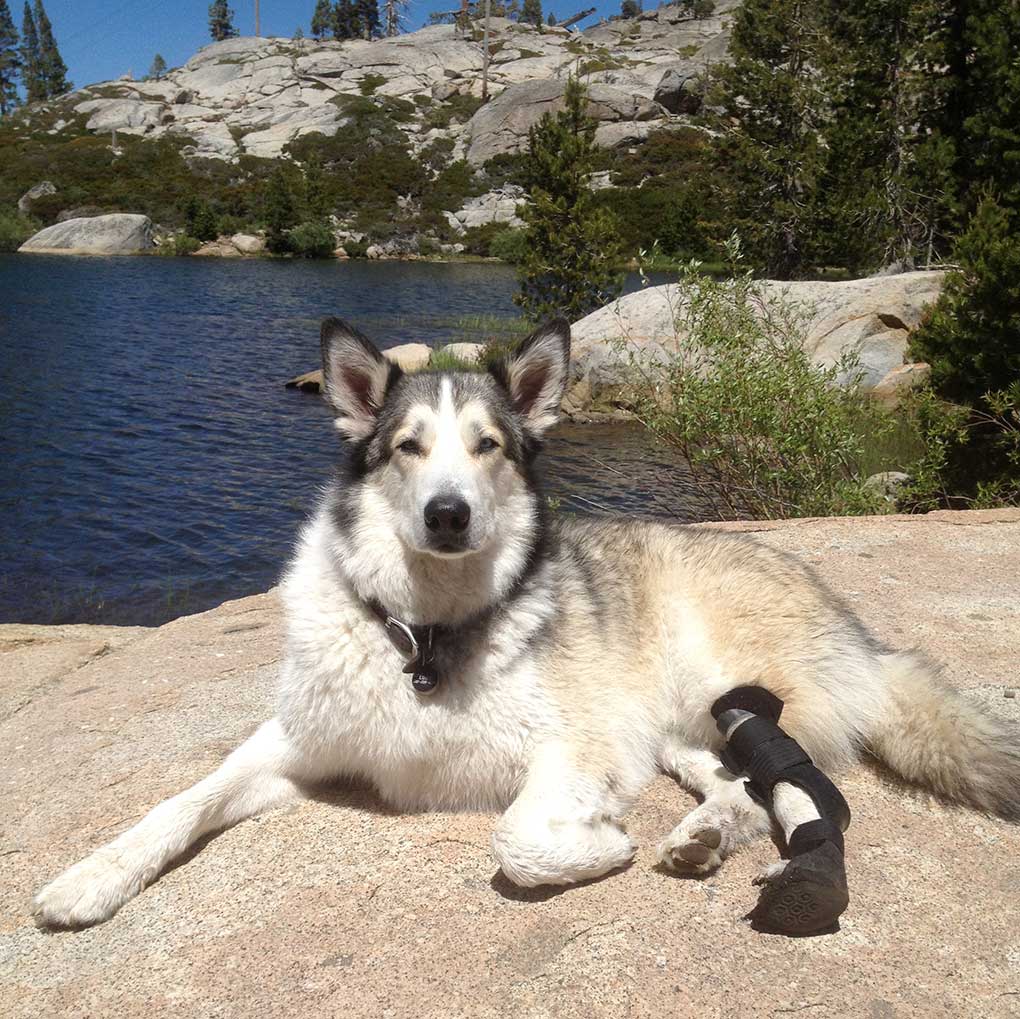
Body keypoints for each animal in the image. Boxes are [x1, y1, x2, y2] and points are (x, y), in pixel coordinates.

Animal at [29, 318, 1020, 934]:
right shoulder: (294, 745)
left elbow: (513, 838)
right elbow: (179, 802)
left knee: (807, 782)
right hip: (679, 727)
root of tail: (855, 624)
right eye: (408, 448)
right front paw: (90, 878)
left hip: (723, 690)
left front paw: (601, 843)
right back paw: (703, 832)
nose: (449, 514)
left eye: (488, 447)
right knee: (740, 781)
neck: (422, 633)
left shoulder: (571, 749)